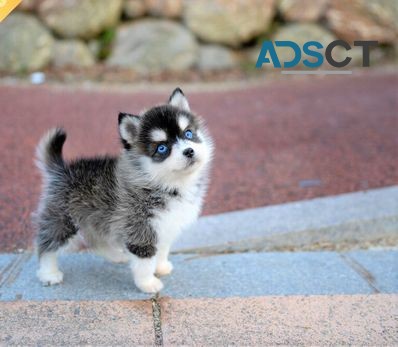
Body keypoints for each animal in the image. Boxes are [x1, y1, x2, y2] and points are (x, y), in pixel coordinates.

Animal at [33, 87, 215, 294]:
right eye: (162, 148)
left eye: (188, 134)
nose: (189, 151)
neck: (168, 184)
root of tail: (61, 169)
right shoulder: (140, 227)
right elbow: (145, 258)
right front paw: (148, 283)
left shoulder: (165, 226)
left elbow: (162, 250)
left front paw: (160, 267)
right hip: (63, 219)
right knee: (47, 244)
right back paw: (49, 273)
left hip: (97, 219)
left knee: (96, 241)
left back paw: (117, 256)